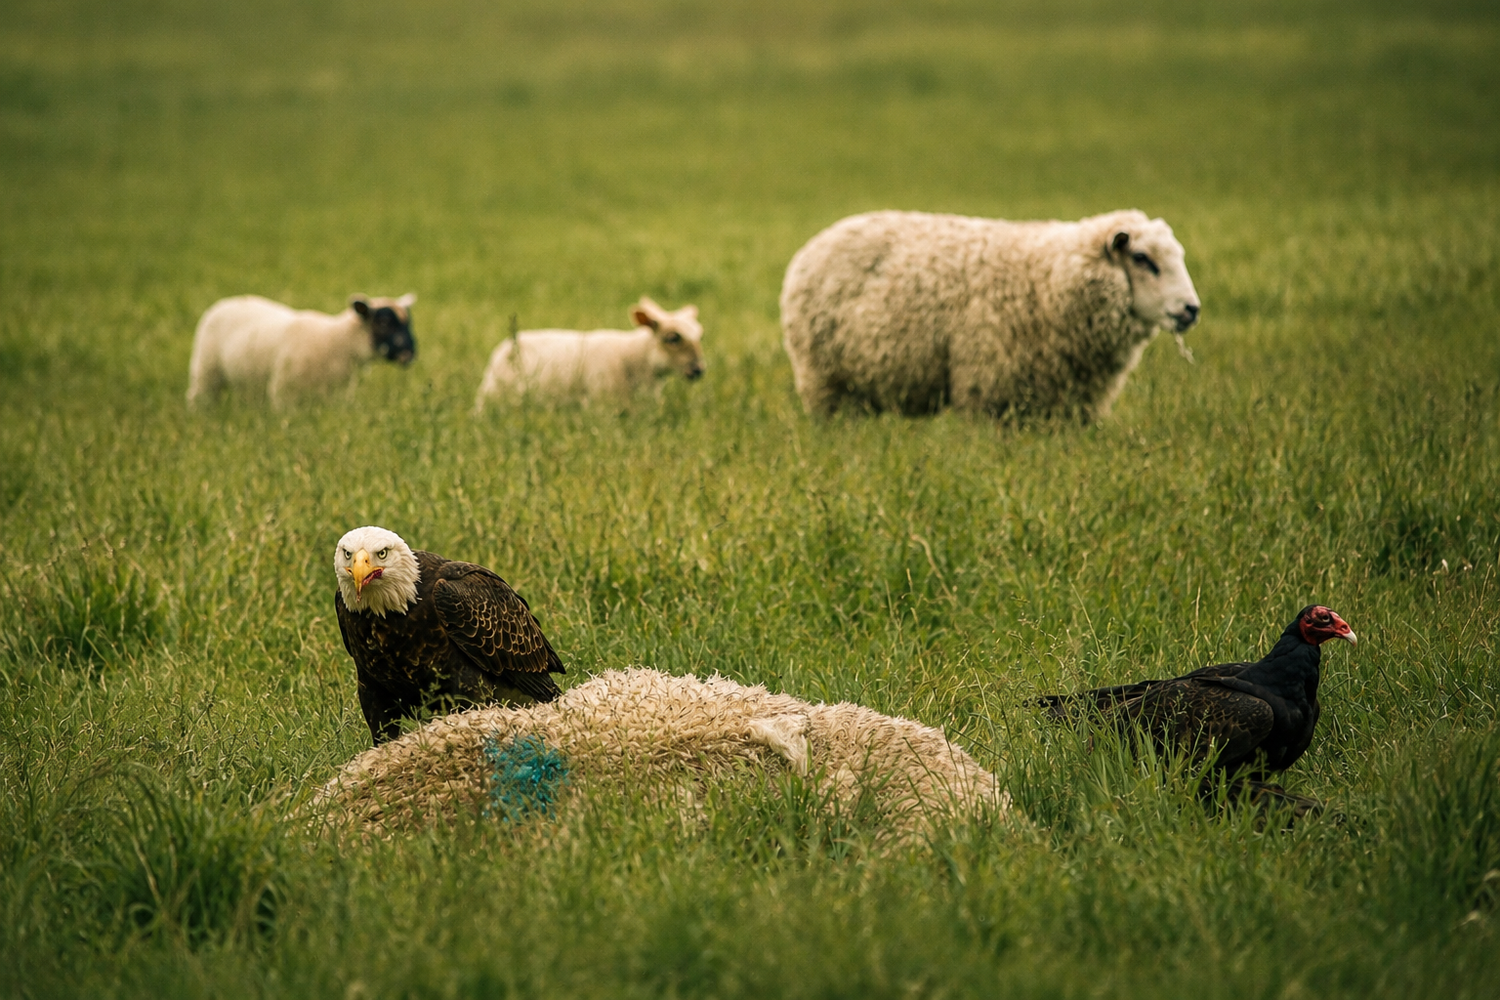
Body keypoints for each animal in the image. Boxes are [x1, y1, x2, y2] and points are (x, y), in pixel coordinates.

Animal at [186, 293, 416, 407]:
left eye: (408, 322)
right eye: (384, 323)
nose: (411, 354)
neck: (336, 342)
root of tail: (224, 303)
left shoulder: (337, 397)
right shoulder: (284, 392)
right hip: (205, 370)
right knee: (198, 398)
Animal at [780, 209, 1201, 422]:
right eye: (1142, 259)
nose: (1191, 309)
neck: (1046, 281)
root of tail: (812, 246)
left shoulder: (1071, 409)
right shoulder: (984, 392)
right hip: (827, 385)